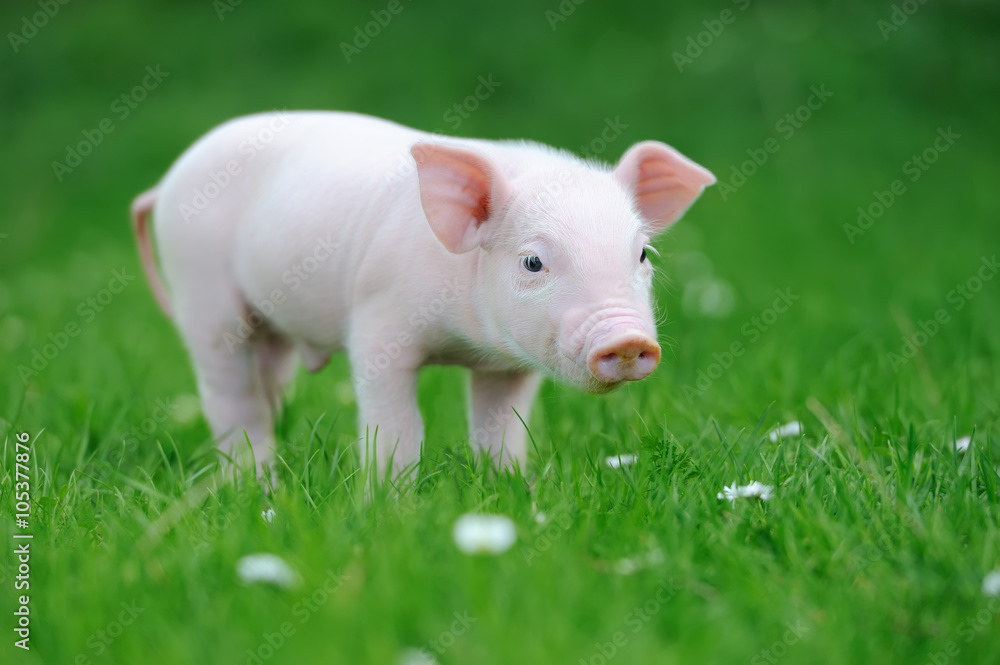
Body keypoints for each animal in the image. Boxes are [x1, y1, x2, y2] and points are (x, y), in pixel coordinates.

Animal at [131, 113, 712, 478]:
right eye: (533, 261)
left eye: (643, 255)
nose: (628, 339)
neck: (465, 344)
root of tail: (165, 184)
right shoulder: (376, 321)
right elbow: (397, 427)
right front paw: (389, 506)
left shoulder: (508, 367)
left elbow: (501, 430)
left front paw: (509, 493)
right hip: (200, 290)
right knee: (228, 395)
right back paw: (257, 486)